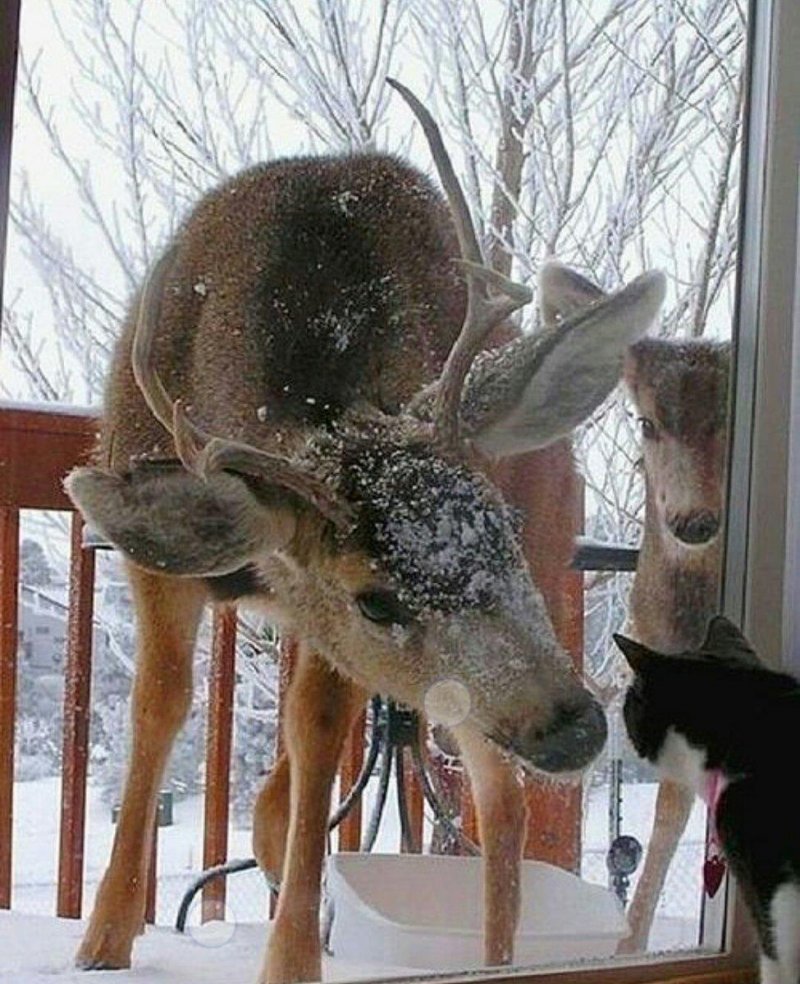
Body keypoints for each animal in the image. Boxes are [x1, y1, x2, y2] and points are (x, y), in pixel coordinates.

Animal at [65, 86, 664, 984]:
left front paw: (290, 958)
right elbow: (160, 706)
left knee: (498, 798)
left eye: (502, 527)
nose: (575, 726)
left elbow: (315, 731)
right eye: (375, 600)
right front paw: (103, 938)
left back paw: (491, 956)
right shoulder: (173, 568)